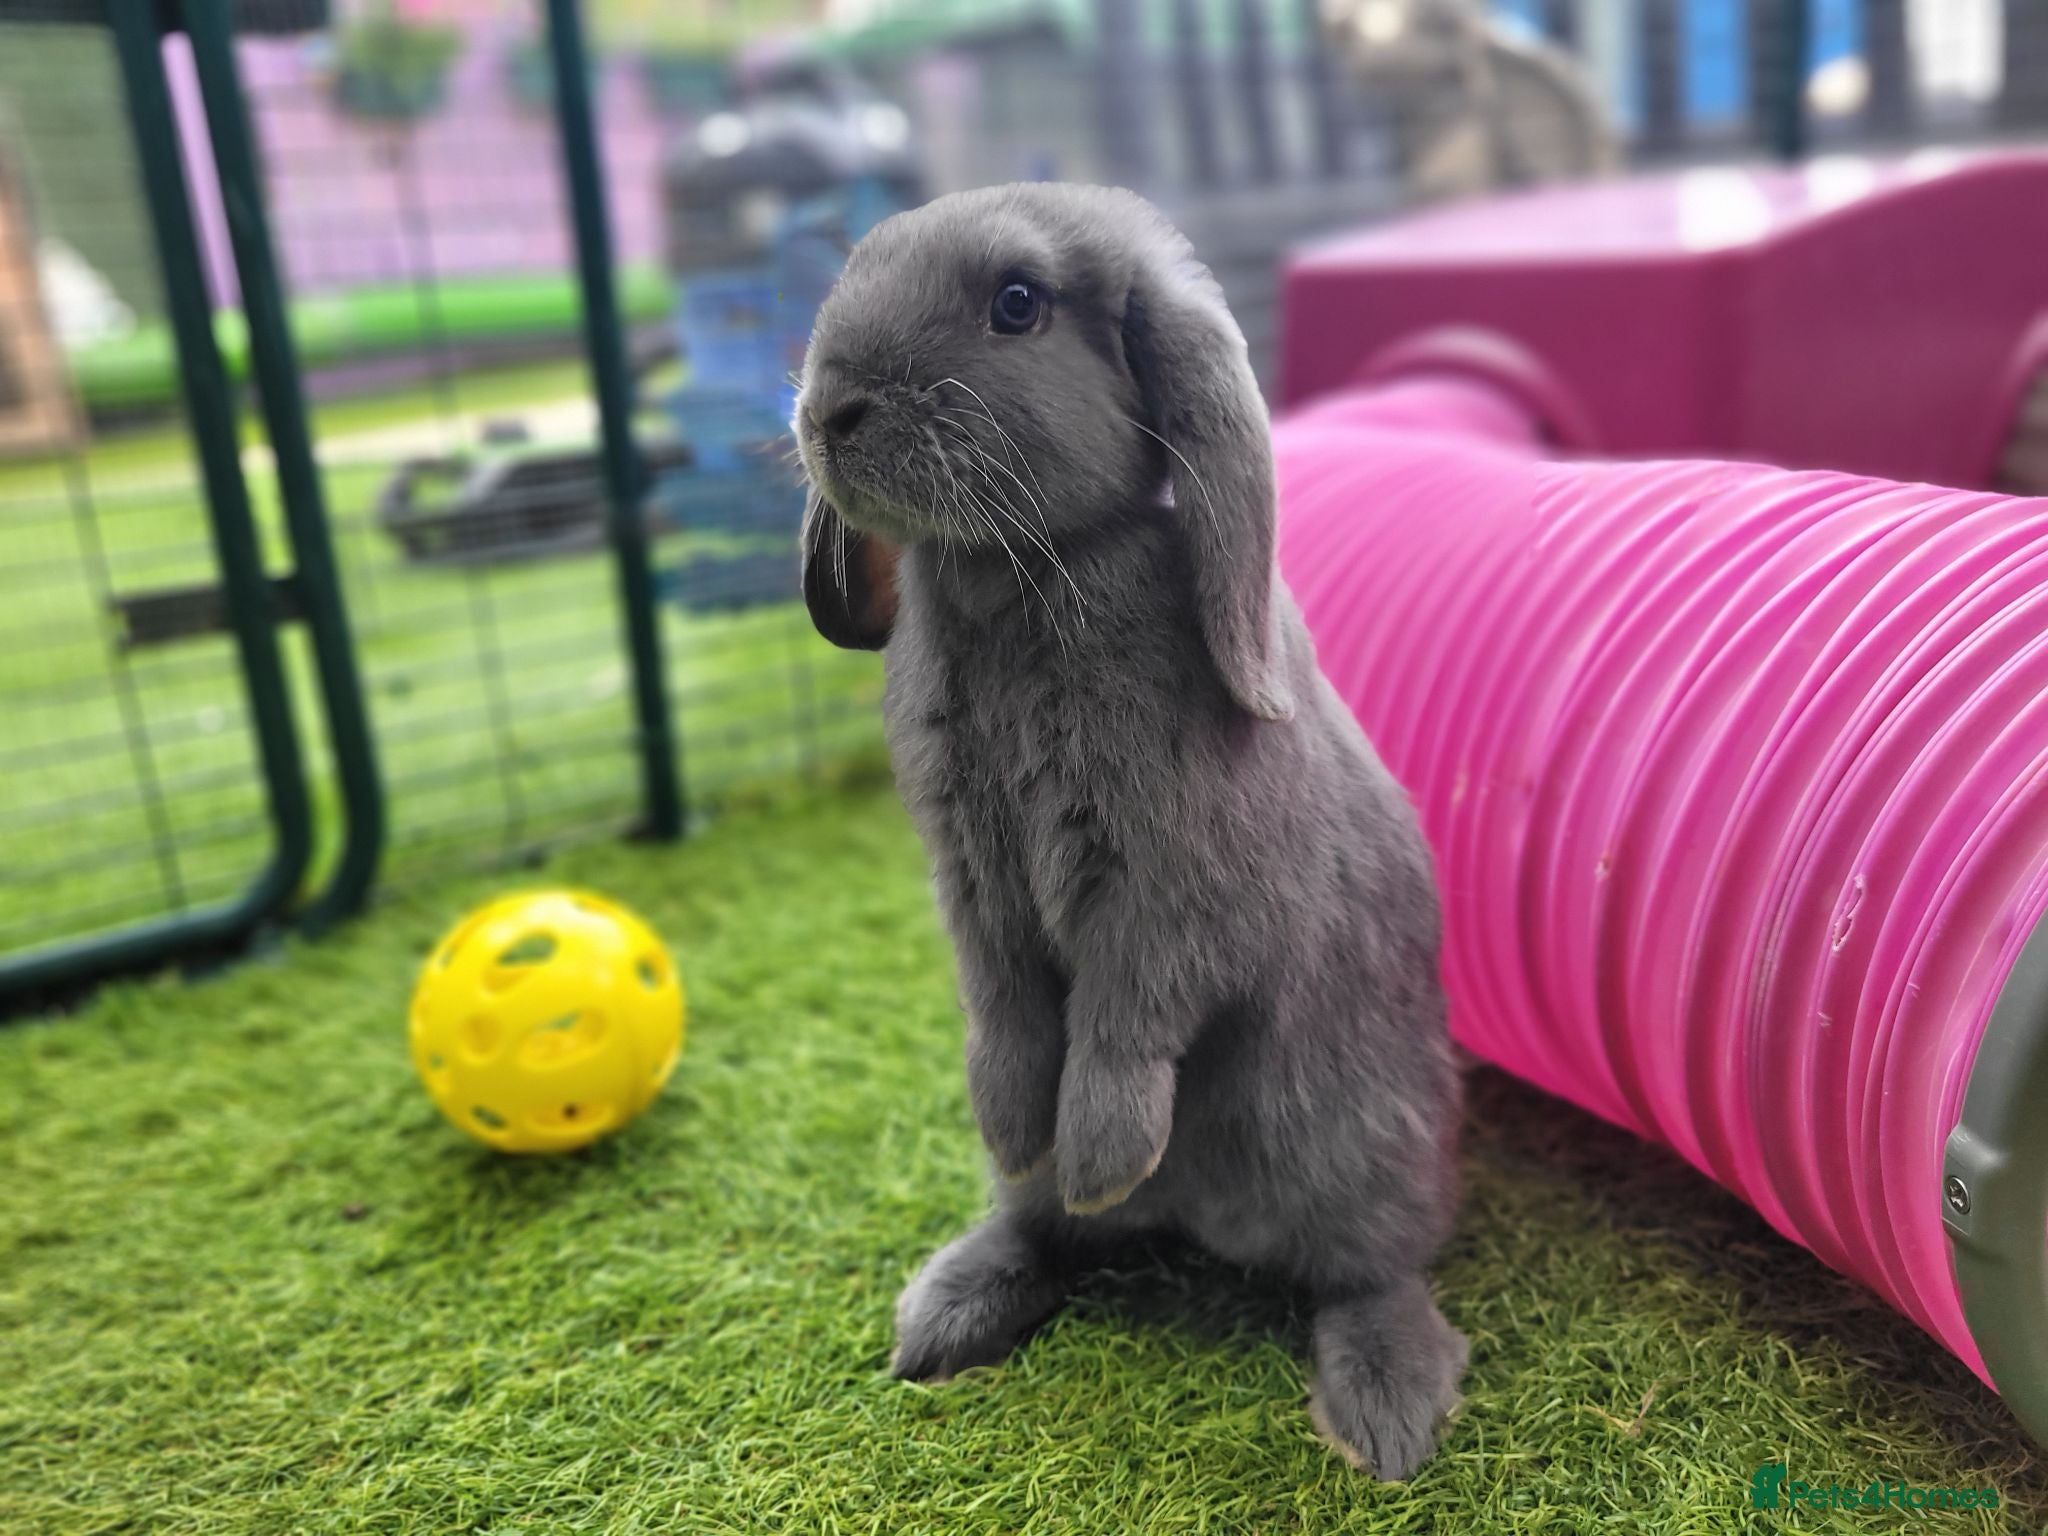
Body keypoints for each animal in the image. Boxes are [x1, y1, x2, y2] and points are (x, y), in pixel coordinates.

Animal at [793, 182, 1465, 1480]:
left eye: (1017, 304)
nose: (827, 410)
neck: (1017, 572)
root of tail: (1205, 1225)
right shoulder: (971, 884)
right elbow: (1006, 1013)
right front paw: (1013, 1125)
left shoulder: (1172, 892)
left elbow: (1123, 1021)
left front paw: (1105, 1152)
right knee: (1051, 1235)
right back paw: (946, 1314)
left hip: (1355, 1141)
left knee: (1372, 1270)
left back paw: (1383, 1413)